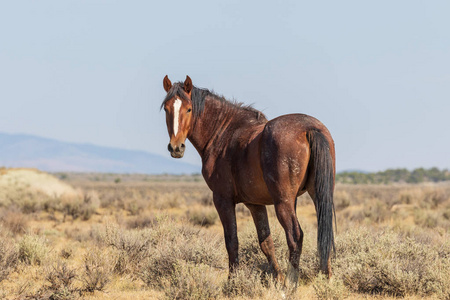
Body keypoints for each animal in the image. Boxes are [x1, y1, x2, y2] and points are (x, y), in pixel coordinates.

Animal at [160, 75, 336, 286]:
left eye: (188, 109)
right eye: (166, 109)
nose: (176, 148)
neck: (223, 134)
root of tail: (310, 128)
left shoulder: (222, 200)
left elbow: (232, 241)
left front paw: (232, 282)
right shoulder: (255, 204)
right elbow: (266, 243)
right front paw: (277, 279)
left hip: (284, 202)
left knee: (295, 236)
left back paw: (292, 284)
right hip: (318, 195)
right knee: (324, 233)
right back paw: (326, 280)